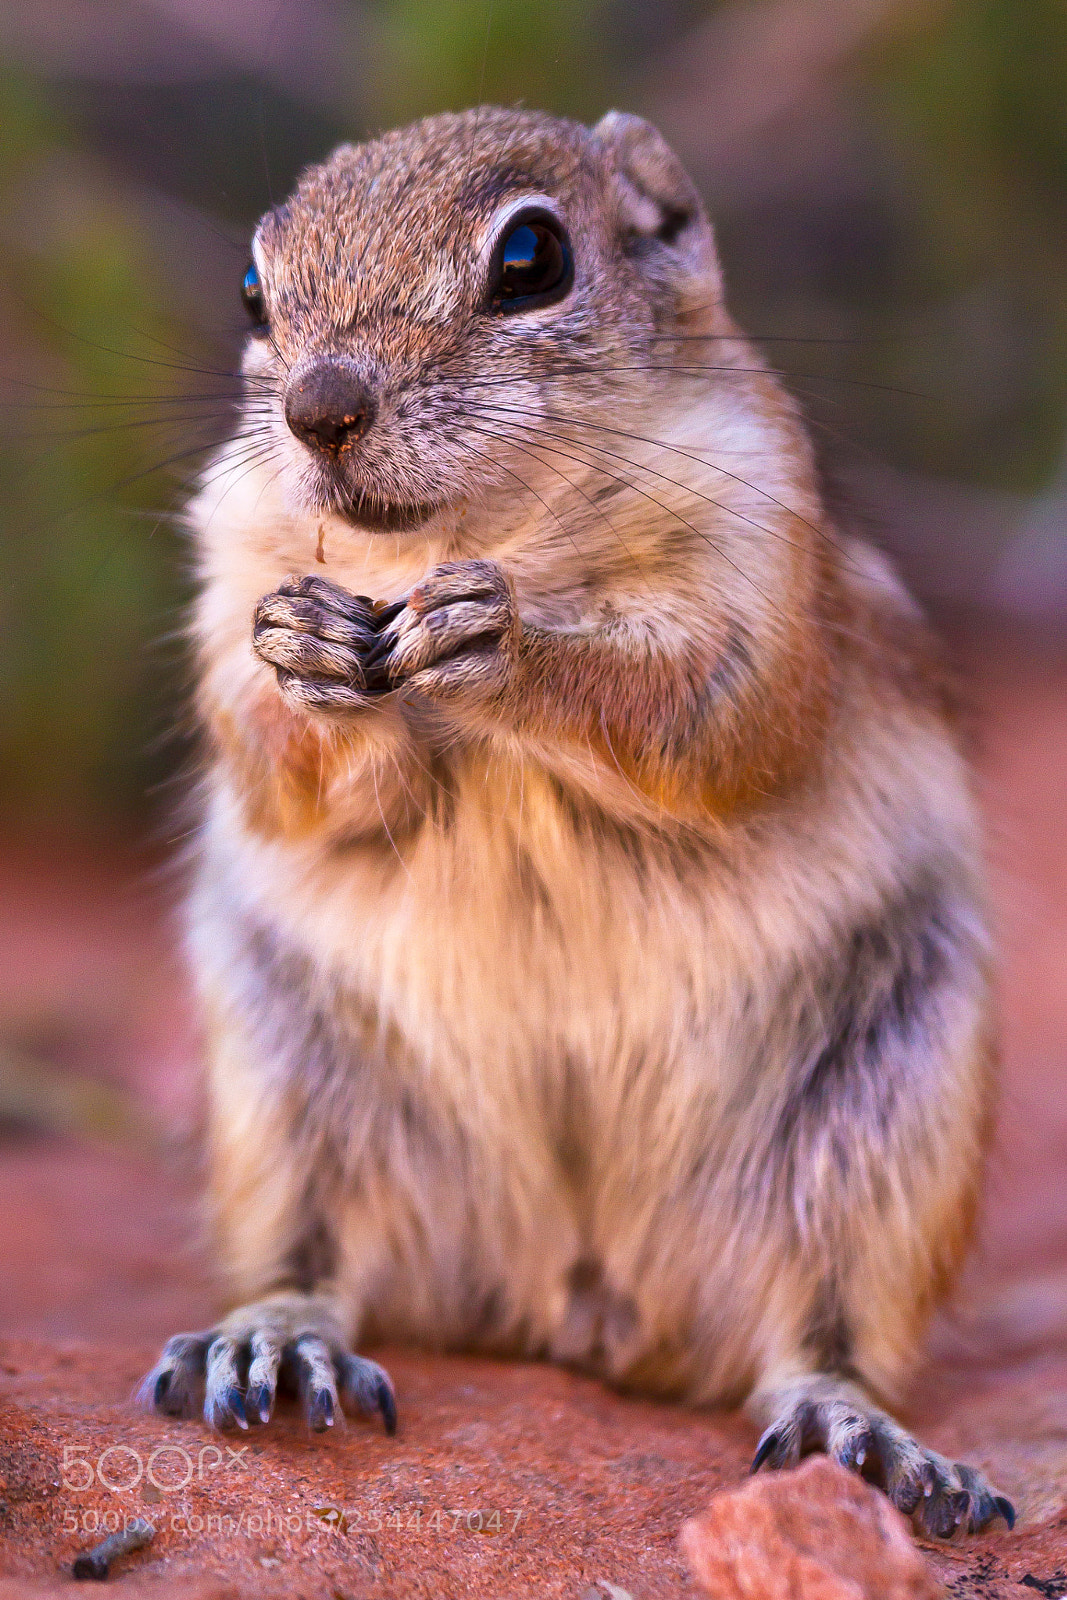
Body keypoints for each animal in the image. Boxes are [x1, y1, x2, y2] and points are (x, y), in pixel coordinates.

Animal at [142, 106, 1014, 1539]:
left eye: (531, 259)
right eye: (254, 288)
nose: (319, 407)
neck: (456, 533)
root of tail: (577, 1294)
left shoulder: (755, 552)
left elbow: (703, 721)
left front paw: (500, 642)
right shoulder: (233, 559)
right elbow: (273, 762)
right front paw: (310, 650)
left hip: (890, 1112)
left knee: (824, 1323)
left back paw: (864, 1436)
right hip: (283, 1095)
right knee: (316, 1250)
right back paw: (275, 1337)